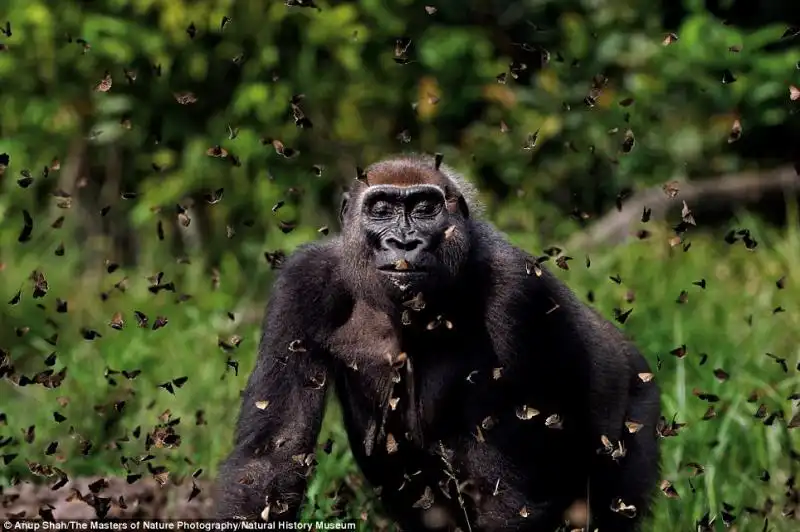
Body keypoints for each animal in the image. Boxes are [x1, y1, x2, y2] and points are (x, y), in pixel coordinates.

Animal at [216, 152, 660, 528]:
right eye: (381, 209)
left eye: (424, 208)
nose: (403, 242)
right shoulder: (303, 282)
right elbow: (272, 454)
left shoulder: (516, 288)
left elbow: (505, 492)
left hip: (639, 403)